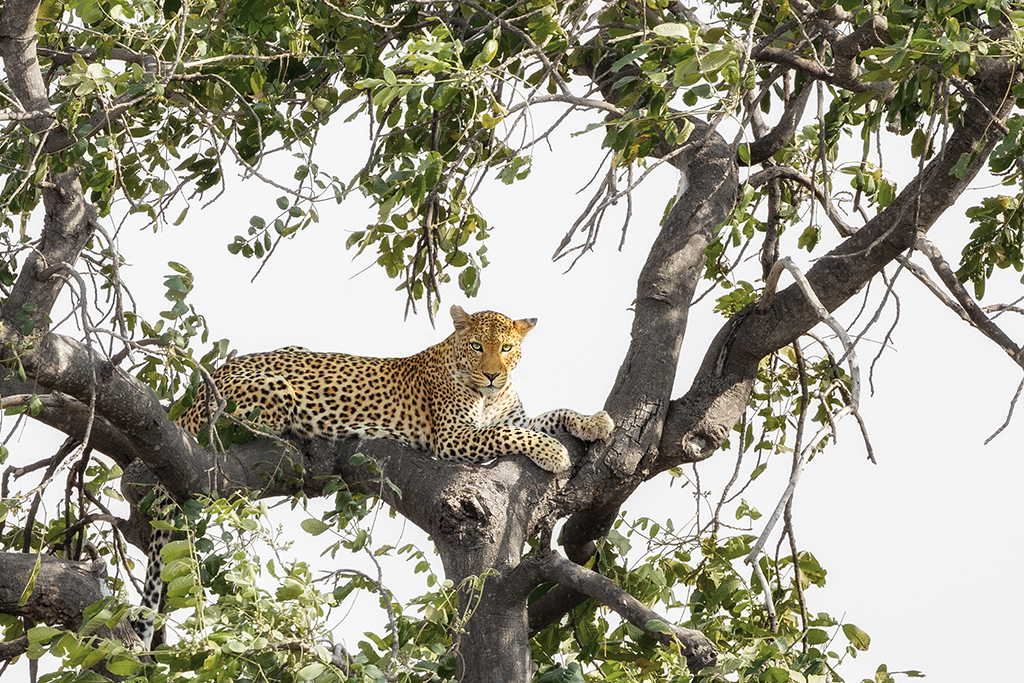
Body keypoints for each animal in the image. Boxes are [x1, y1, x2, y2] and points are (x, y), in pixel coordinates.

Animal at [135, 307, 614, 651]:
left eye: (509, 347)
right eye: (478, 346)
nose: (494, 374)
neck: (488, 394)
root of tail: (203, 388)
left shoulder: (511, 415)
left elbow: (551, 413)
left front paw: (593, 422)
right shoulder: (455, 437)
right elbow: (512, 434)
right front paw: (553, 451)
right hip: (272, 394)